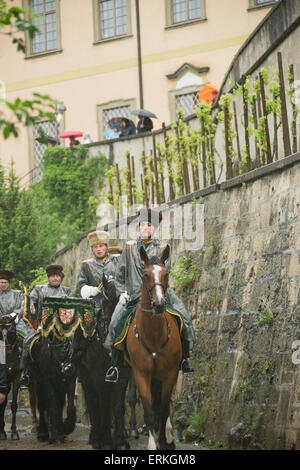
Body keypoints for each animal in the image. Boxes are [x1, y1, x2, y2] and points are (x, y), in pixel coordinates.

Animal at [73, 274, 130, 450]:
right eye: (100, 302)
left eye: (109, 300)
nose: (105, 330)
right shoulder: (98, 376)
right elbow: (102, 404)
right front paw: (104, 440)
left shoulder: (122, 377)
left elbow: (117, 406)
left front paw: (120, 441)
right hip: (85, 377)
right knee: (92, 401)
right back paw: (95, 435)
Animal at [126, 244, 182, 450]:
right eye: (145, 274)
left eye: (166, 274)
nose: (158, 305)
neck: (154, 335)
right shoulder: (141, 373)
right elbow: (149, 411)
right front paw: (152, 444)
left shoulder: (170, 373)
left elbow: (164, 409)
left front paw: (165, 441)